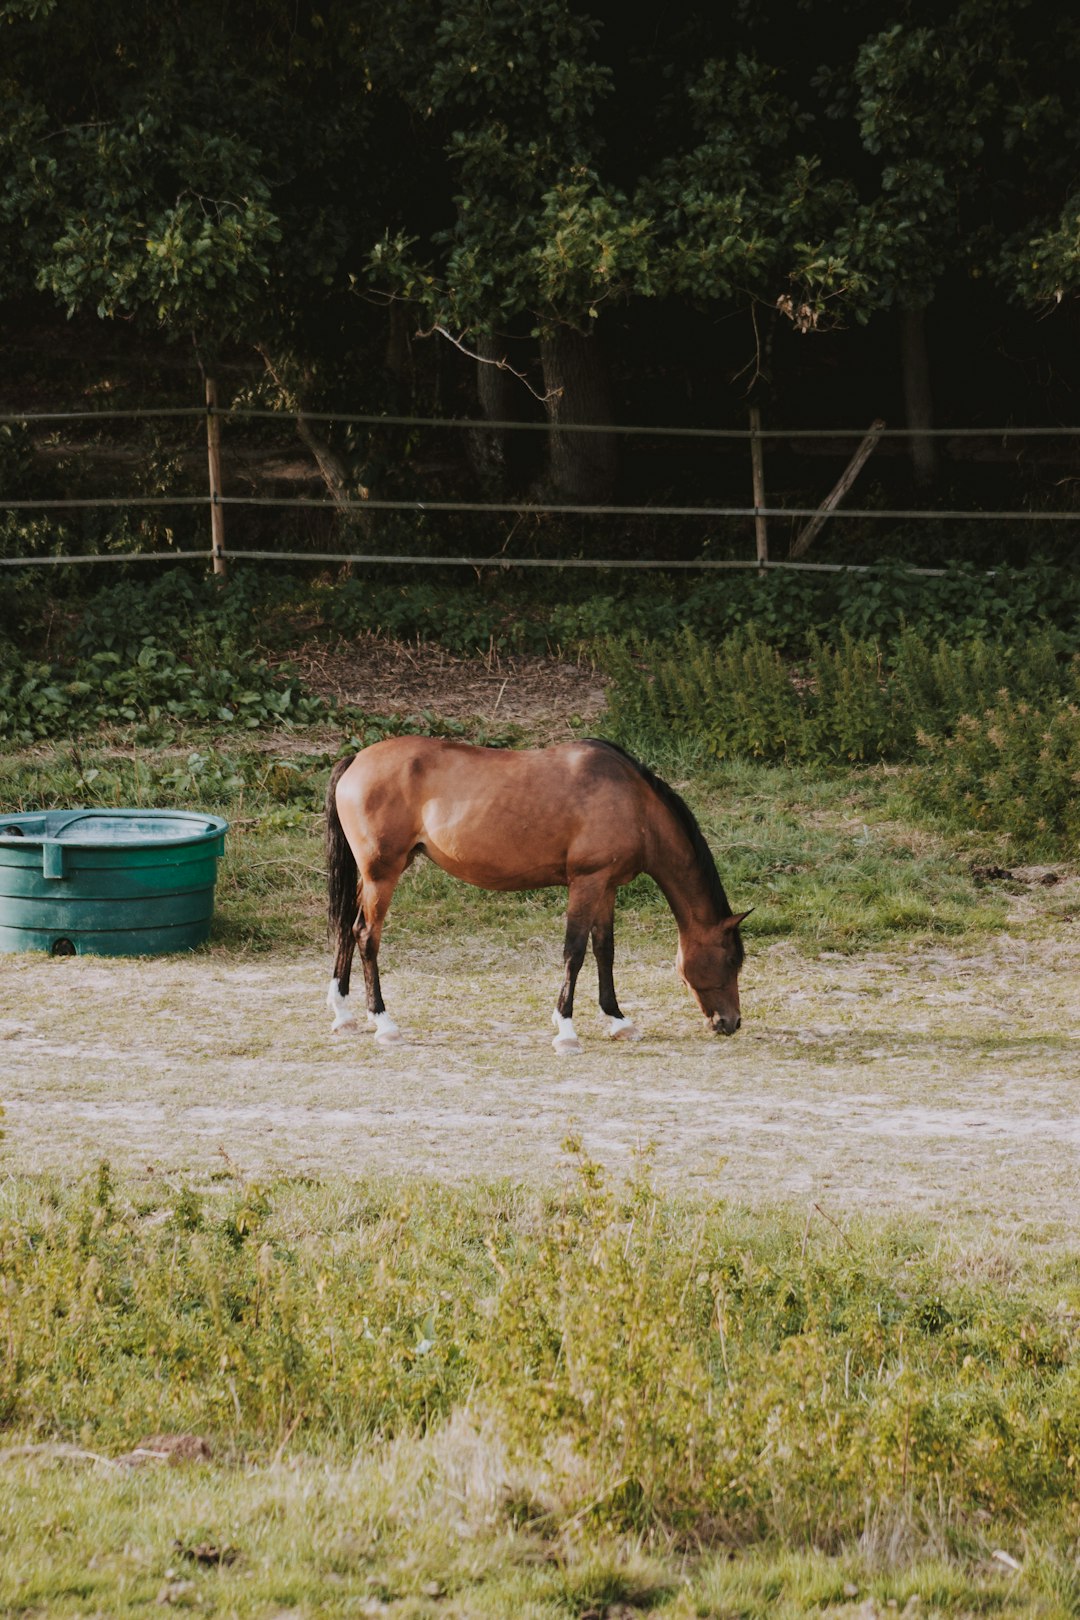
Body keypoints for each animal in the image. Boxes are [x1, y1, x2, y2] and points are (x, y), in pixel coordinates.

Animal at [327, 735, 751, 1049]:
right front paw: (566, 1030)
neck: (632, 801)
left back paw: (344, 1014)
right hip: (382, 875)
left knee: (347, 927)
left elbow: (605, 951)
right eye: (732, 959)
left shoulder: (606, 887)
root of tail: (356, 759)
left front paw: (618, 1020)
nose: (731, 1022)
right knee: (366, 935)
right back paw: (384, 1023)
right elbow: (574, 953)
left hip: (371, 876)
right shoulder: (586, 883)